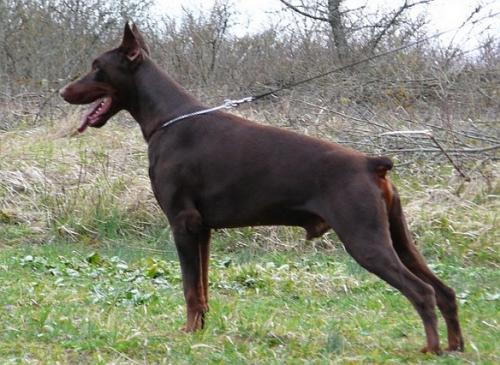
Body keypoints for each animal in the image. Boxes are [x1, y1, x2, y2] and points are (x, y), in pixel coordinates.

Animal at [59, 22, 464, 352]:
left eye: (97, 66)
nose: (63, 91)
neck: (167, 120)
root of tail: (370, 163)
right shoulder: (202, 229)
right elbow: (201, 288)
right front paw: (200, 330)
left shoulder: (182, 222)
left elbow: (189, 288)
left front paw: (187, 333)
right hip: (397, 236)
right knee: (444, 290)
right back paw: (455, 346)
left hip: (365, 239)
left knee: (422, 292)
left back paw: (431, 348)